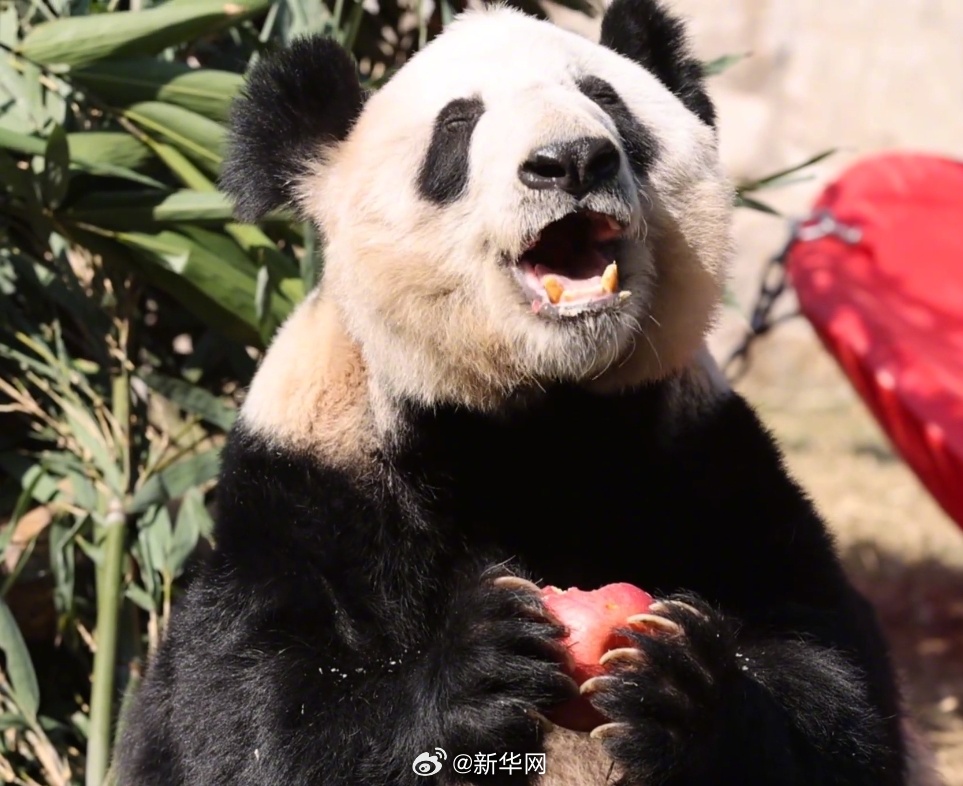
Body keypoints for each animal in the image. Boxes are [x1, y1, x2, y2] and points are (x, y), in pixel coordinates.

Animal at [113, 1, 931, 784]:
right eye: (457, 125)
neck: (538, 408)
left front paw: (683, 689)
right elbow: (251, 713)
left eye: (607, 99)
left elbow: (831, 677)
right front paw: (476, 669)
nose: (572, 160)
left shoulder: (702, 453)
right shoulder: (311, 479)